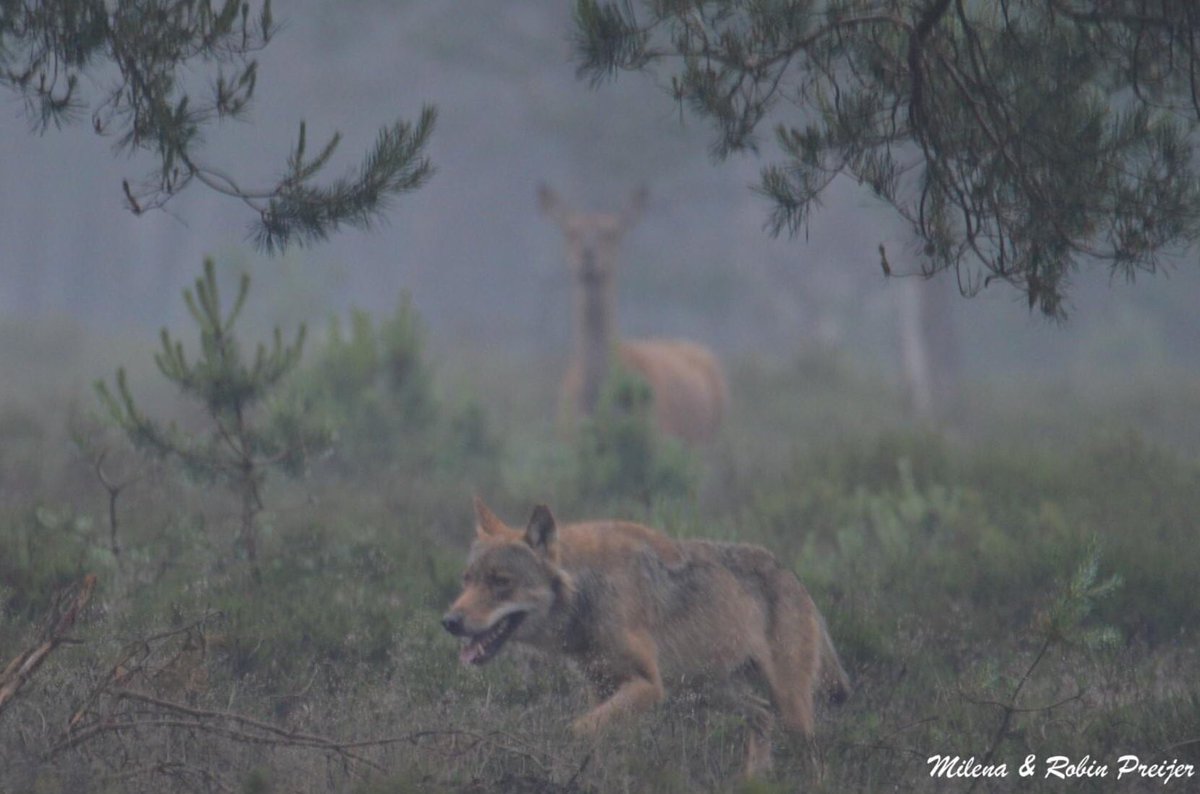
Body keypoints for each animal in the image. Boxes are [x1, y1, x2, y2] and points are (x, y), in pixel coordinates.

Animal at [442, 498, 850, 777]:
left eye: (500, 583)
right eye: (467, 580)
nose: (449, 621)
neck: (588, 592)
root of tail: (795, 577)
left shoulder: (649, 686)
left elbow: (578, 729)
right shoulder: (601, 687)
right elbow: (596, 735)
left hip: (790, 708)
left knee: (814, 755)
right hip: (718, 691)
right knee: (762, 717)